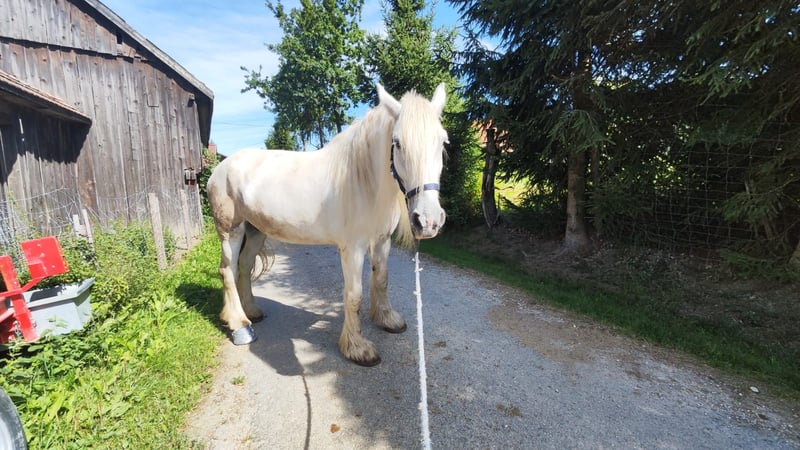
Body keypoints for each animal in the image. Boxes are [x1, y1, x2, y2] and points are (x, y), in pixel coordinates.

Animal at [206, 83, 448, 366]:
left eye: (443, 142)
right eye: (397, 143)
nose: (428, 220)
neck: (364, 182)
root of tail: (220, 168)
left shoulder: (382, 241)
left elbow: (381, 279)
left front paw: (387, 319)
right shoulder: (353, 249)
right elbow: (354, 295)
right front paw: (357, 348)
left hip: (256, 231)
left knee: (244, 266)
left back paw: (251, 311)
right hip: (230, 231)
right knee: (228, 270)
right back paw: (240, 325)